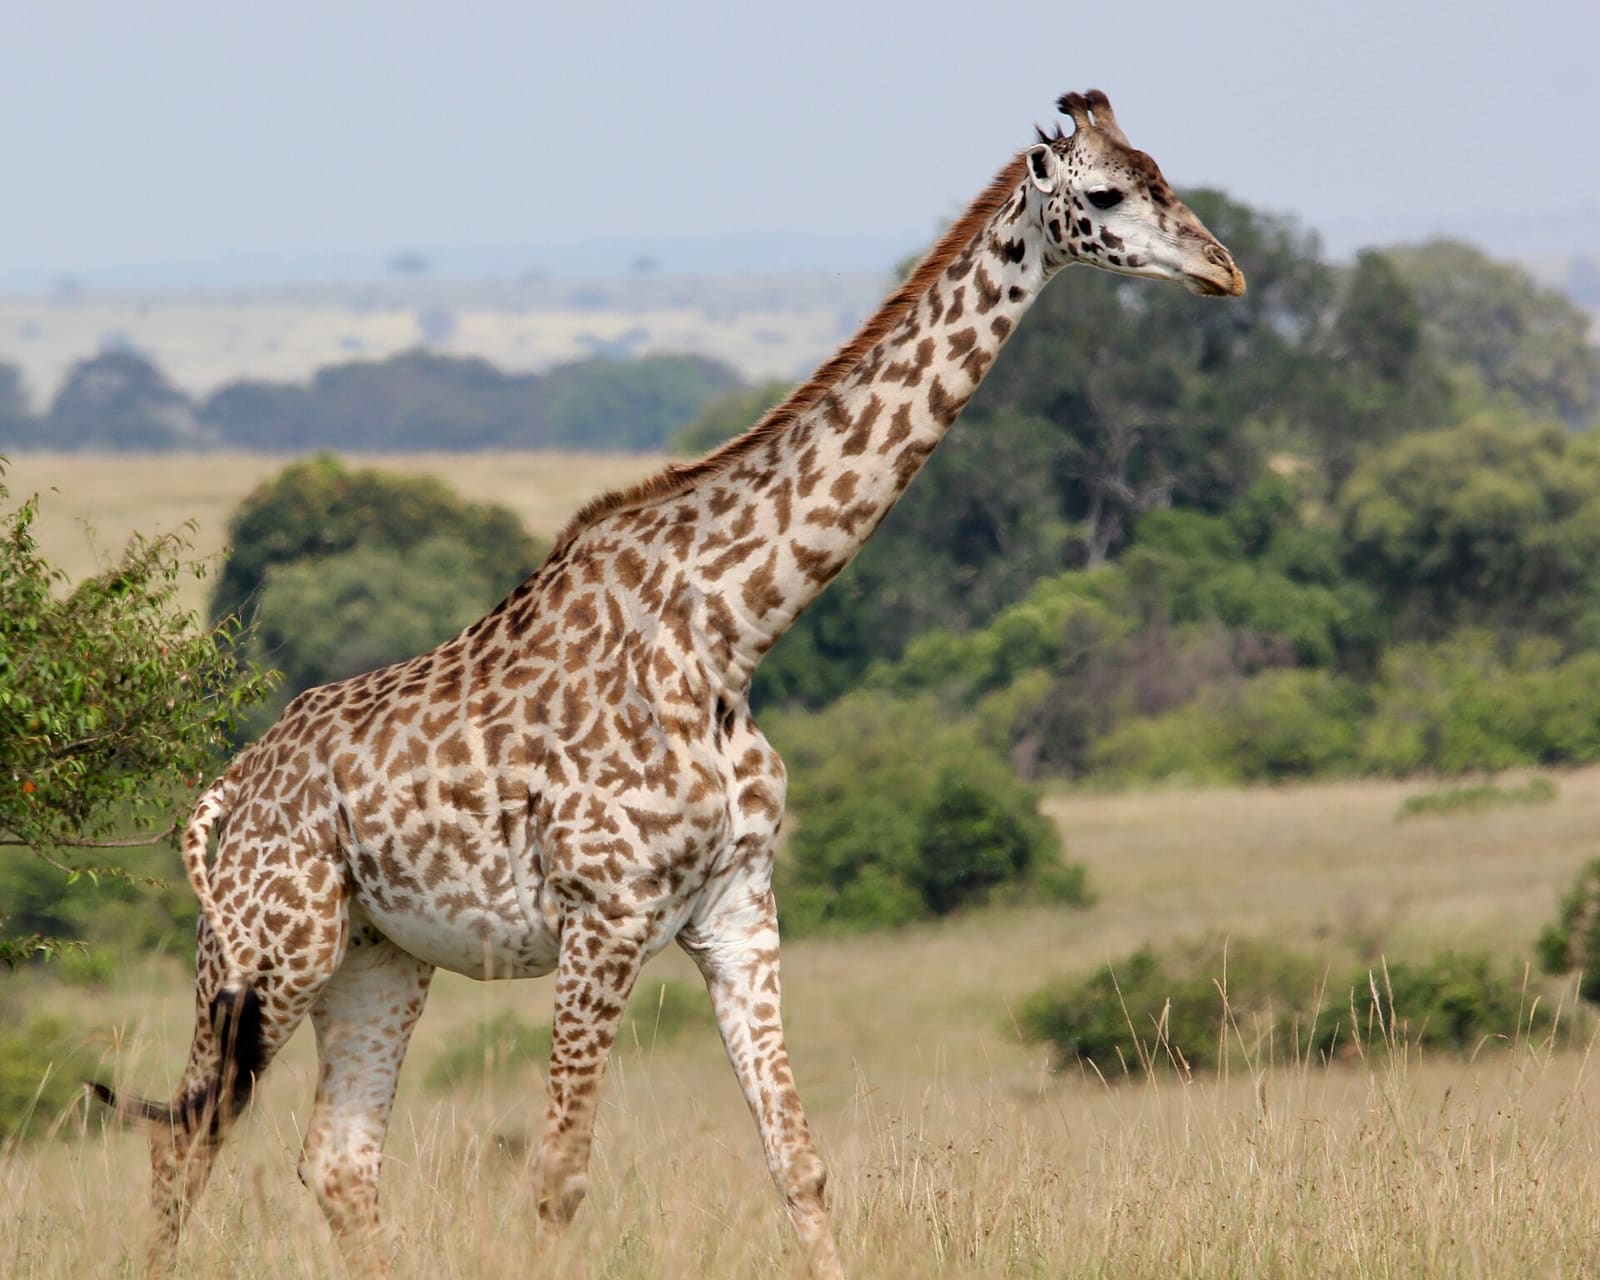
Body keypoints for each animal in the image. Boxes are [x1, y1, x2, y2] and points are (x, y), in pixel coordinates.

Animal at [93, 90, 1243, 1278]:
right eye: (1104, 194)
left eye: (1163, 174)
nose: (1225, 270)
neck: (728, 628)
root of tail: (226, 789)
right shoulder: (603, 913)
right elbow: (558, 1177)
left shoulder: (738, 906)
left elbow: (798, 1161)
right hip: (266, 950)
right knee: (185, 1141)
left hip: (376, 956)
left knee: (338, 1159)